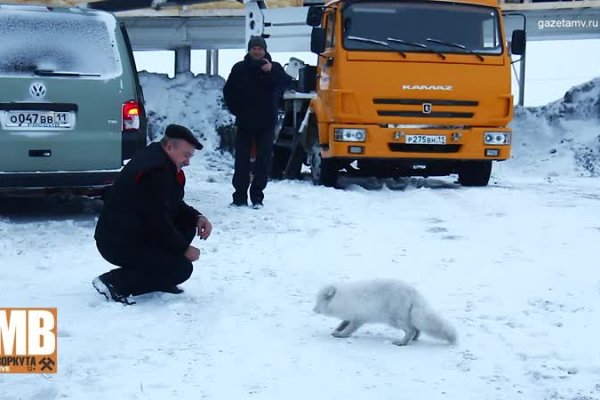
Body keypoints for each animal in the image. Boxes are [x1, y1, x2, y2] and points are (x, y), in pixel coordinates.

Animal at [312, 280, 458, 346]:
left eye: (318, 301)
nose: (313, 309)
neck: (341, 298)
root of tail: (414, 294)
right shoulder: (350, 317)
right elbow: (343, 324)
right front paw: (337, 331)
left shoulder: (358, 319)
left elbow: (349, 328)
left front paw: (341, 335)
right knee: (416, 329)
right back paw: (414, 339)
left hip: (396, 319)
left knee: (410, 330)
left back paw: (402, 342)